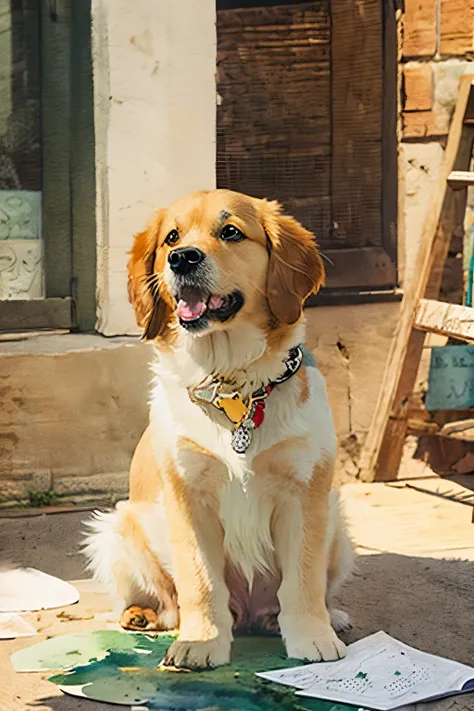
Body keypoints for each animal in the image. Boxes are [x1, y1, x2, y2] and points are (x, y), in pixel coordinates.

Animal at [84, 189, 352, 668]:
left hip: (338, 523)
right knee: (167, 601)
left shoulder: (304, 492)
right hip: (116, 529)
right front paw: (202, 641)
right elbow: (200, 580)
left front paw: (312, 637)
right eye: (171, 237)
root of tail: (248, 614)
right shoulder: (188, 496)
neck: (231, 385)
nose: (182, 259)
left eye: (230, 232)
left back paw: (317, 618)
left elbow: (303, 579)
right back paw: (144, 615)